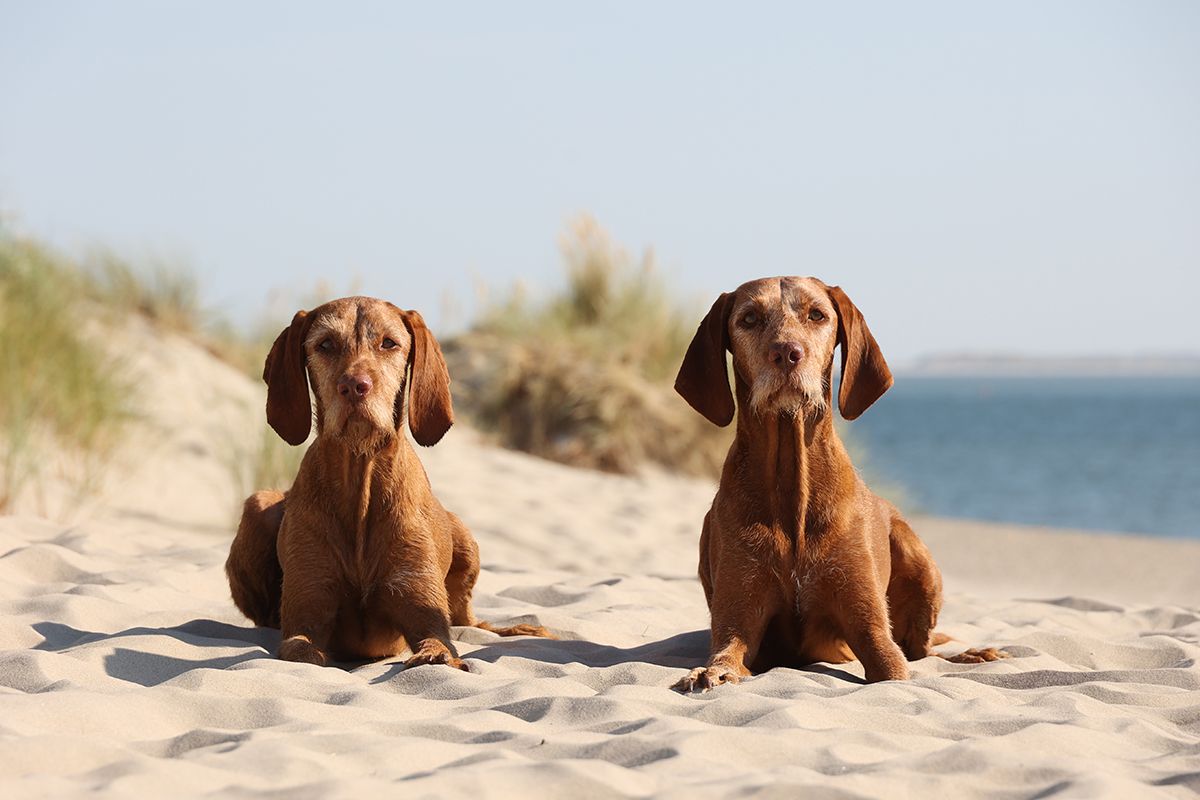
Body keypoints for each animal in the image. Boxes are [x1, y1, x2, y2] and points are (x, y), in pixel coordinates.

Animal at [226, 296, 549, 671]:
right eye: (325, 344)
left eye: (389, 343)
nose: (354, 386)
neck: (361, 480)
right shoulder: (307, 613)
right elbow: (301, 650)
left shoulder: (421, 607)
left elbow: (440, 645)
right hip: (258, 505)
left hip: (466, 540)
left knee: (470, 620)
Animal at [672, 278, 998, 690]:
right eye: (749, 318)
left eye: (817, 315)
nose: (786, 353)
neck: (793, 488)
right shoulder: (736, 623)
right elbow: (725, 656)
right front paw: (709, 674)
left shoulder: (872, 631)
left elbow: (894, 665)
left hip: (919, 559)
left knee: (924, 650)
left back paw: (974, 653)